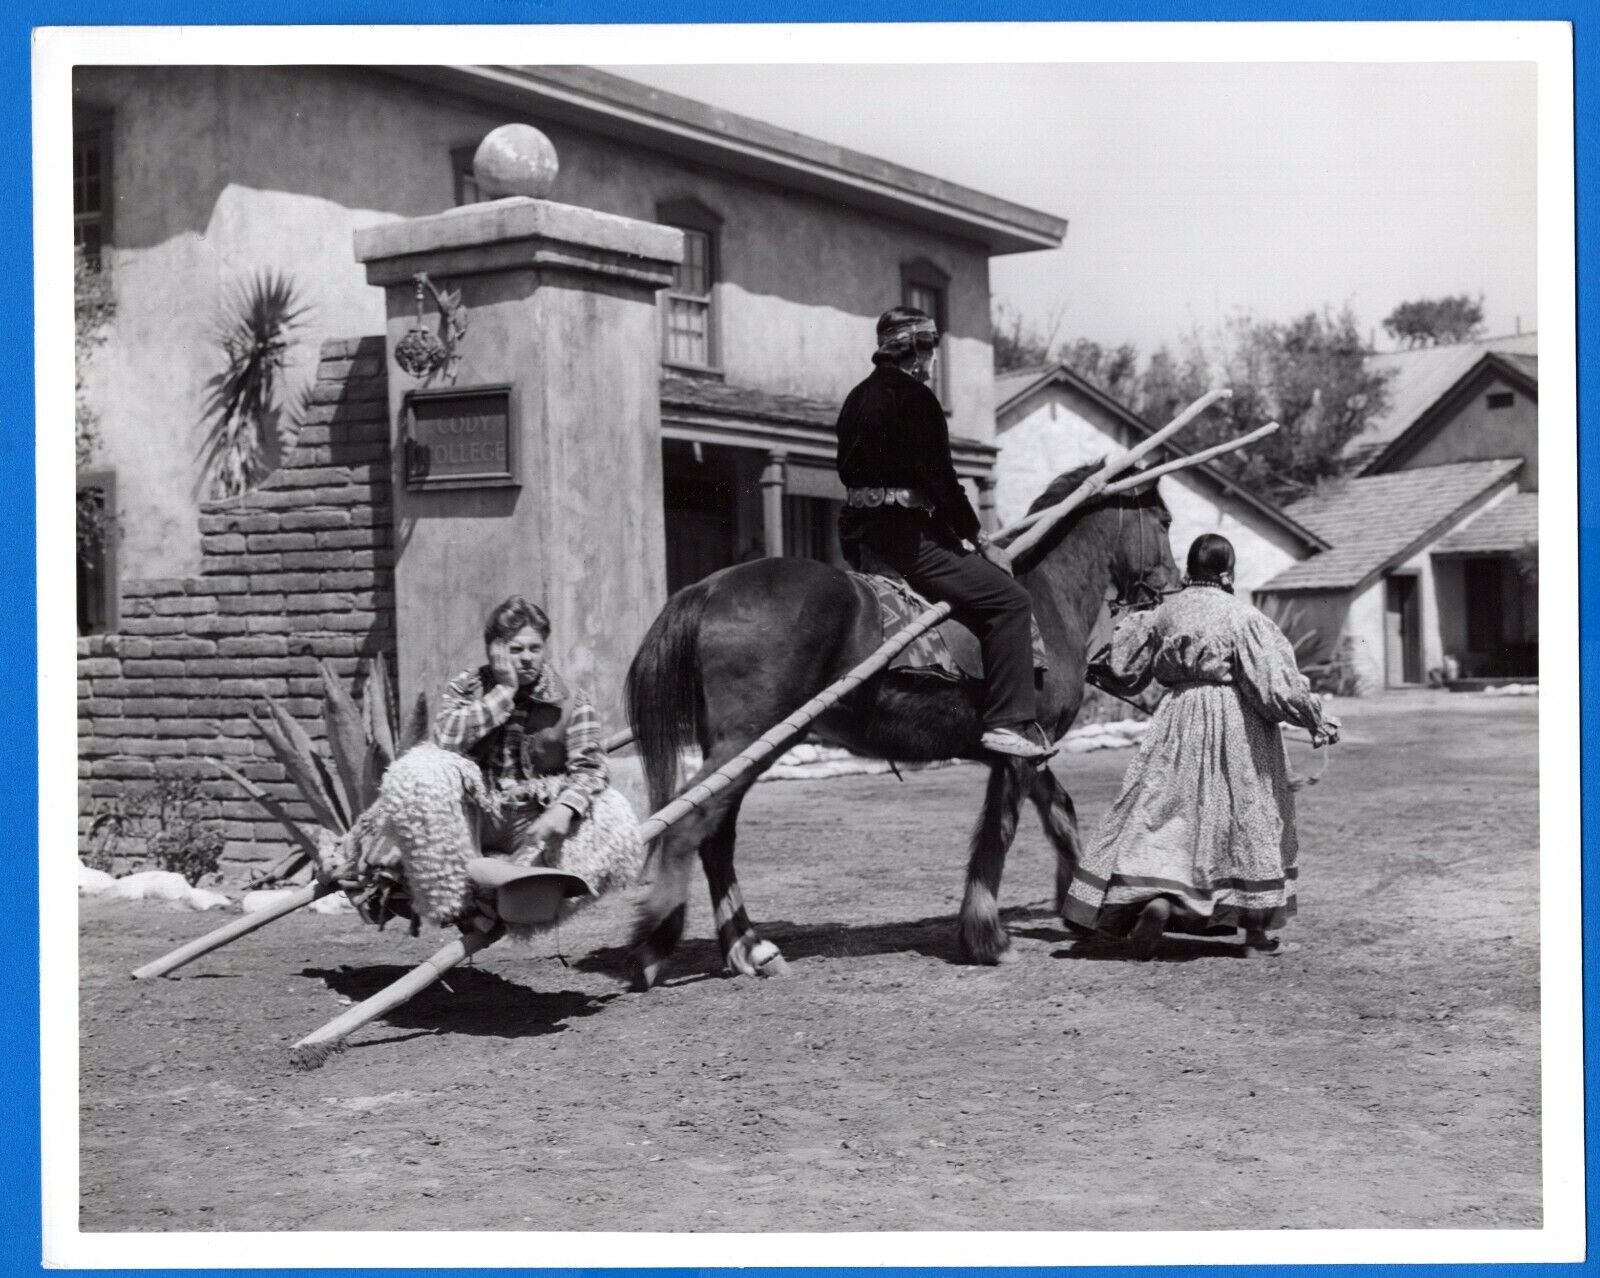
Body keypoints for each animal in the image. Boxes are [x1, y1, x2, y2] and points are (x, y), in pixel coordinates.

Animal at [624, 463, 1190, 991]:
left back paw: (748, 948)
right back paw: (655, 942)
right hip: (746, 743)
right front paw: (987, 938)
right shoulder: (1017, 749)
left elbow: (1059, 813)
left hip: (743, 749)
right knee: (686, 828)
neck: (1046, 596)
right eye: (1164, 521)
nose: (1172, 587)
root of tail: (710, 586)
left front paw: (1078, 908)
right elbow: (999, 833)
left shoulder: (1031, 747)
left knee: (715, 838)